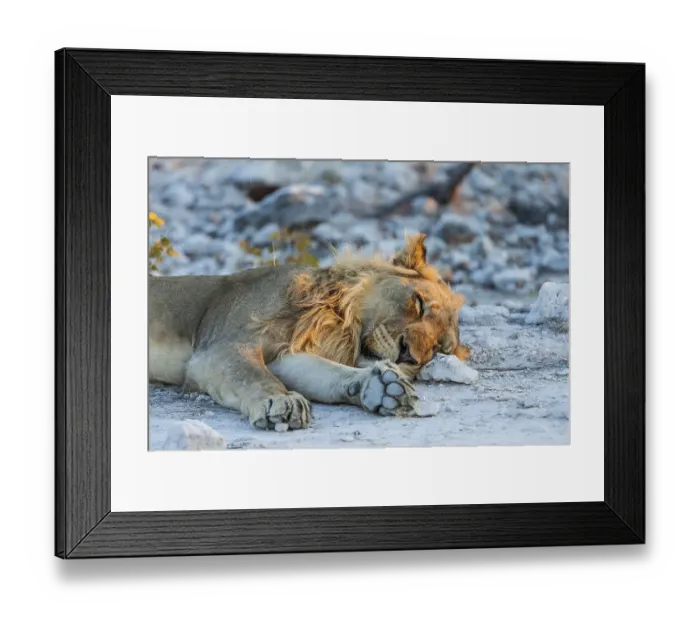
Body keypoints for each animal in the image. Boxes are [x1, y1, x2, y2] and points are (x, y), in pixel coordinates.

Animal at [149, 233, 470, 431]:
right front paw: (280, 401)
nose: (407, 354)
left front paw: (381, 387)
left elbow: (329, 373)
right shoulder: (221, 347)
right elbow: (253, 374)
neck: (334, 317)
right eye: (418, 303)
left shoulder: (285, 355)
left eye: (436, 350)